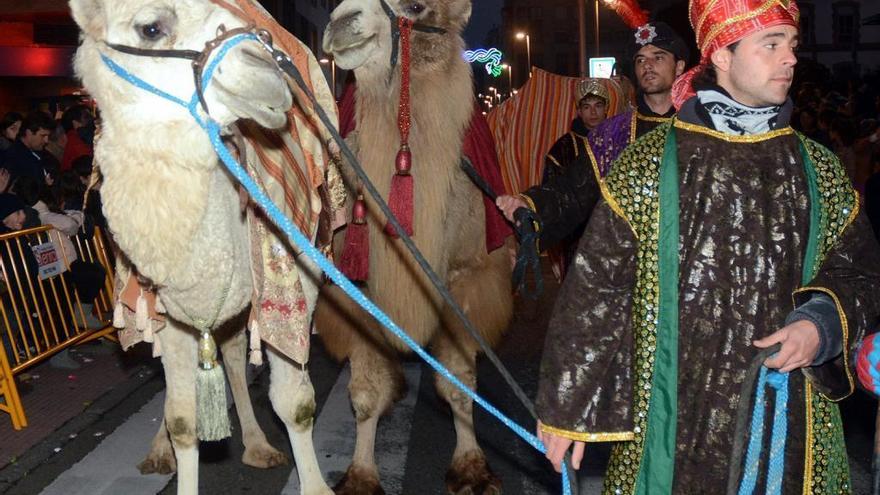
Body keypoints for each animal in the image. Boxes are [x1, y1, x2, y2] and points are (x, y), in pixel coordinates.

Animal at [69, 0, 334, 495]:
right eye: (151, 28)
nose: (268, 72)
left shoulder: (296, 282)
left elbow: (296, 404)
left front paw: (316, 485)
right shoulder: (169, 306)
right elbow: (183, 420)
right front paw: (172, 447)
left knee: (232, 352)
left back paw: (257, 446)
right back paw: (160, 452)